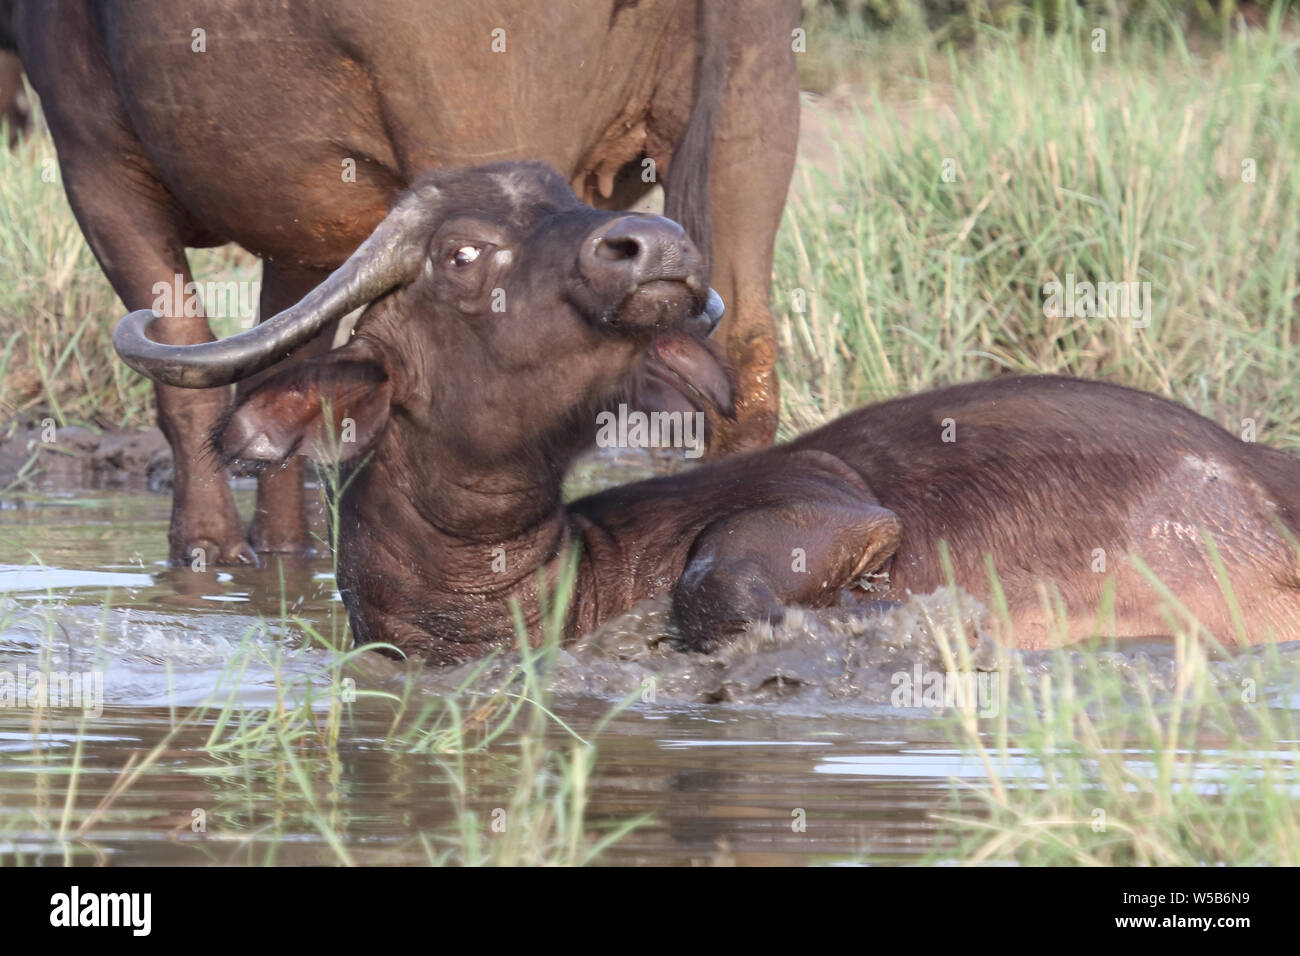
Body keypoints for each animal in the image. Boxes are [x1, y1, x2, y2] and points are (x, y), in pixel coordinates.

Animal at [8, 0, 799, 563]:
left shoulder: (91, 159)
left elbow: (188, 379)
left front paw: (206, 550)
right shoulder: (302, 239)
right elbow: (286, 372)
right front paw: (286, 551)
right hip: (749, 113)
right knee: (746, 357)